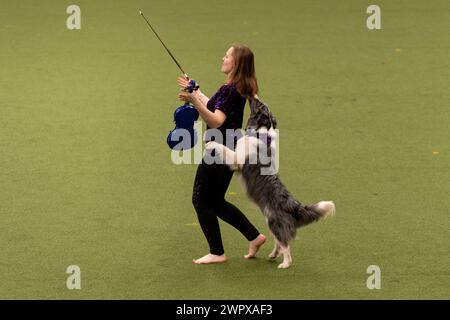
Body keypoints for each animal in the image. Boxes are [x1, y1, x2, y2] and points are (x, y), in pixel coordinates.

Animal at [206, 96, 336, 268]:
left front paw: (210, 144)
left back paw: (285, 264)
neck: (259, 133)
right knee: (279, 242)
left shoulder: (237, 160)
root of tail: (294, 205)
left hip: (274, 221)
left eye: (260, 105)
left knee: (285, 244)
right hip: (271, 222)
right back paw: (273, 254)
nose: (253, 95)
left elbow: (224, 149)